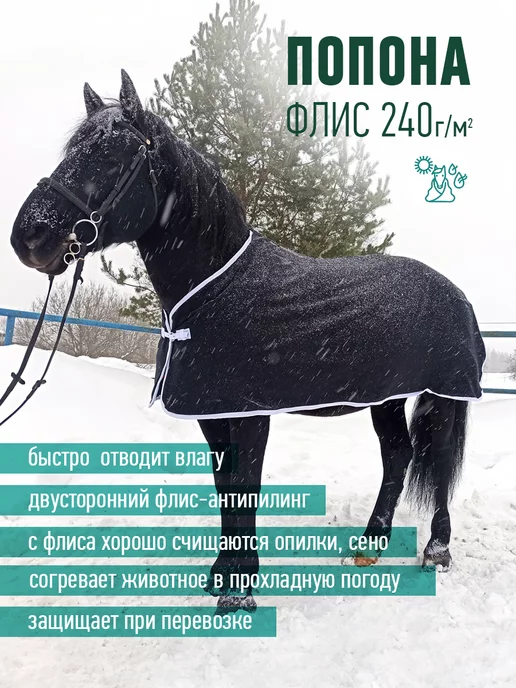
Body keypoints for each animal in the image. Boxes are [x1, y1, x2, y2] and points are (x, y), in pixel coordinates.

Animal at [10, 71, 485, 611]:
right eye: (71, 151)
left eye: (112, 157)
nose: (29, 236)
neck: (215, 289)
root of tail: (456, 293)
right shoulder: (213, 416)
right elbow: (226, 489)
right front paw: (223, 575)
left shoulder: (249, 415)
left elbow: (244, 488)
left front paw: (239, 591)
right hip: (384, 398)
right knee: (398, 456)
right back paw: (370, 544)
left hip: (442, 397)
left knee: (440, 464)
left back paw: (436, 550)